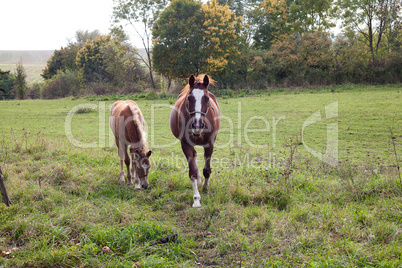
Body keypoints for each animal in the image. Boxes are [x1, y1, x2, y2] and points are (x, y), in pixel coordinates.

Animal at [170, 74, 220, 208]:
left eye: (206, 98)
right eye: (189, 98)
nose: (197, 125)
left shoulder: (209, 144)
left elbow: (207, 170)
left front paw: (205, 187)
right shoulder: (185, 144)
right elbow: (192, 172)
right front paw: (196, 199)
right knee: (194, 155)